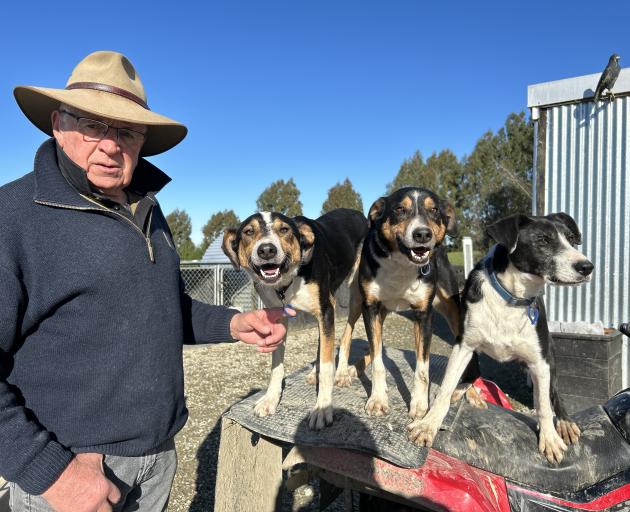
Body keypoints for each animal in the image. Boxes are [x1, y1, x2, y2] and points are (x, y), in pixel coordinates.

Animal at [223, 208, 368, 428]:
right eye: (248, 231)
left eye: (284, 230)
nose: (267, 250)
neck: (288, 281)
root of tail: (358, 213)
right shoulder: (277, 318)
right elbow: (276, 366)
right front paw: (270, 399)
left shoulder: (326, 310)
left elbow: (328, 365)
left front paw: (322, 408)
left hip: (356, 296)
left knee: (346, 334)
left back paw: (342, 372)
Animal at [336, 188, 484, 424]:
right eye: (399, 209)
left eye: (434, 210)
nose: (422, 234)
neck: (401, 264)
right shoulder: (371, 308)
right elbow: (378, 361)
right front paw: (378, 399)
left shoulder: (424, 314)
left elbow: (422, 368)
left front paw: (420, 405)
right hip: (358, 301)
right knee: (348, 335)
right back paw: (343, 372)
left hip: (452, 310)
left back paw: (470, 392)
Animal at [410, 212, 596, 464]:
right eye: (542, 240)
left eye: (571, 239)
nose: (587, 267)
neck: (511, 297)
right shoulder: (463, 346)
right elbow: (445, 389)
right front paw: (428, 425)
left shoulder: (540, 361)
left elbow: (543, 405)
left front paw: (549, 439)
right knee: (473, 374)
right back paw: (464, 390)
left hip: (550, 356)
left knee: (553, 393)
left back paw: (565, 422)